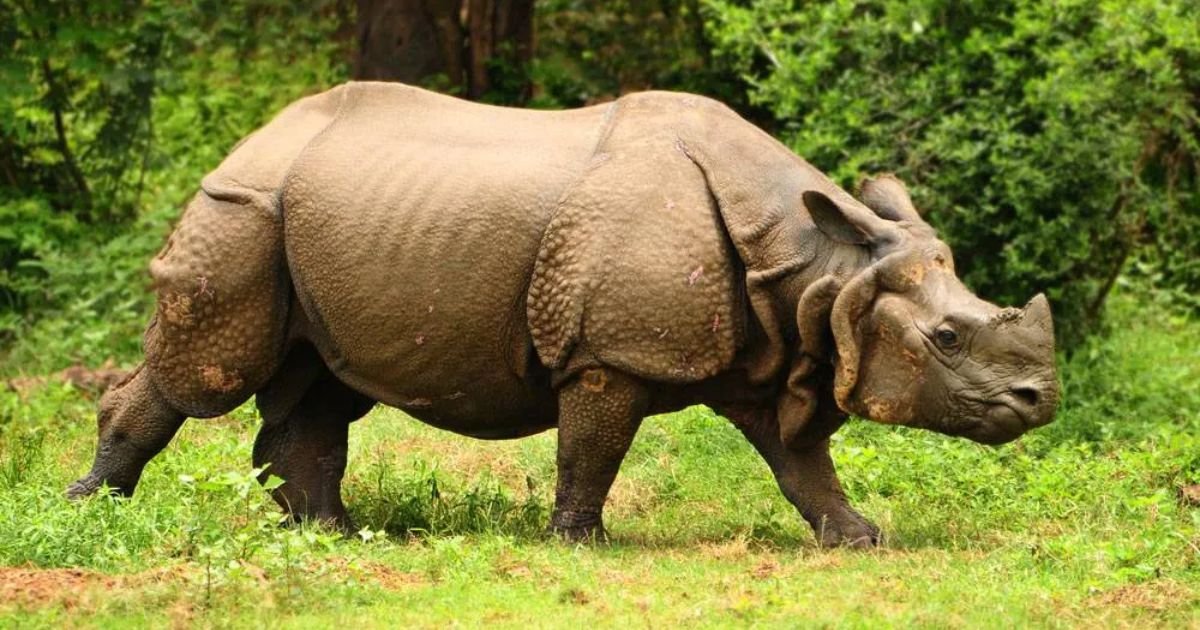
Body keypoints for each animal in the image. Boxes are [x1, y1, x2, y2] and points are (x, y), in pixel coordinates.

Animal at [68, 82, 1058, 547]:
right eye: (948, 337)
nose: (1041, 400)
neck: (819, 268)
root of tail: (256, 136)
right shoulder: (609, 352)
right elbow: (593, 449)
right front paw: (582, 543)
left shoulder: (775, 351)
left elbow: (802, 464)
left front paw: (862, 540)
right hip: (242, 207)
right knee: (206, 372)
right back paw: (93, 511)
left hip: (313, 217)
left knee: (320, 383)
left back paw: (332, 535)